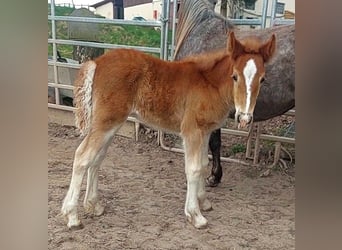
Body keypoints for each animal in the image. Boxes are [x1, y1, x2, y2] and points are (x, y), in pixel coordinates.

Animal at [60, 32, 276, 229]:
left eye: (263, 79)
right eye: (235, 76)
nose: (244, 118)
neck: (209, 83)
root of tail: (96, 63)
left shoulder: (205, 131)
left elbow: (204, 164)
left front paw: (203, 202)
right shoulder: (192, 131)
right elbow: (193, 169)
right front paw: (195, 215)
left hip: (110, 124)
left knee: (96, 159)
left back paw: (93, 205)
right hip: (106, 122)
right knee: (82, 157)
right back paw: (72, 216)